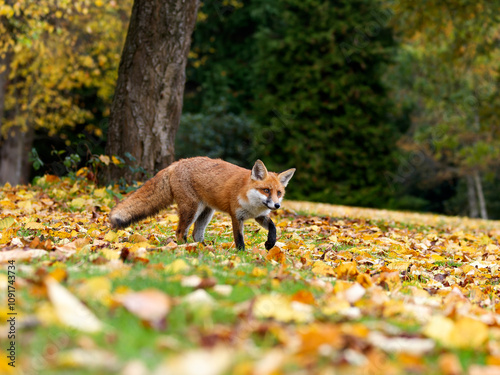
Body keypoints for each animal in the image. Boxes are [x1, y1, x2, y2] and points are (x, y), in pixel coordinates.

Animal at [109, 157, 294, 251]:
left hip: (207, 212)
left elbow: (273, 227)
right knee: (180, 232)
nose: (276, 206)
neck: (252, 204)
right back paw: (186, 248)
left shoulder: (259, 216)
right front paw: (241, 255)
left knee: (196, 234)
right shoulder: (236, 216)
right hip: (191, 209)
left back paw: (205, 248)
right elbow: (239, 238)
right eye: (266, 190)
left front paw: (270, 244)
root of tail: (176, 163)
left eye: (279, 193)